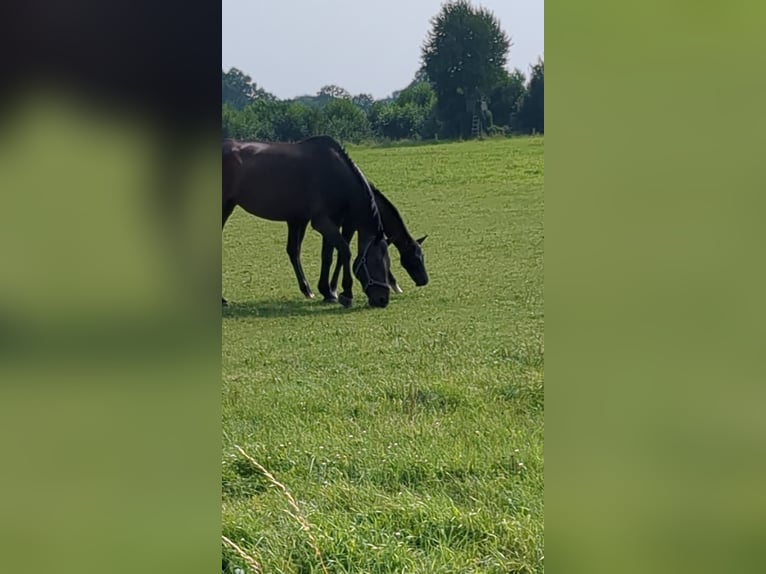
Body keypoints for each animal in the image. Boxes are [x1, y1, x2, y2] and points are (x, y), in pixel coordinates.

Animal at [220, 136, 390, 308]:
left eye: (388, 262)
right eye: (376, 261)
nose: (383, 300)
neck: (335, 174)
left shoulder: (328, 221)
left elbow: (326, 255)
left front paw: (326, 292)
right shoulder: (322, 222)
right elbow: (344, 250)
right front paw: (346, 294)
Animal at [284, 187, 432, 308]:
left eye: (423, 256)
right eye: (413, 259)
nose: (424, 280)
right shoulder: (349, 225)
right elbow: (340, 255)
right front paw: (334, 289)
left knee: (294, 250)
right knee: (294, 250)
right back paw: (307, 290)